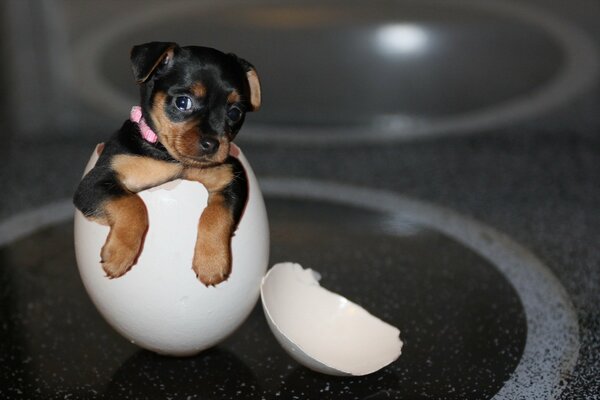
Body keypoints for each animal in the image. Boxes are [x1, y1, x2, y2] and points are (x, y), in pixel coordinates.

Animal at [73, 42, 260, 286]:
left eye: (235, 112)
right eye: (183, 102)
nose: (212, 144)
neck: (172, 159)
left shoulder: (231, 176)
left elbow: (218, 214)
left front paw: (211, 261)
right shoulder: (94, 183)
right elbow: (133, 204)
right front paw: (118, 254)